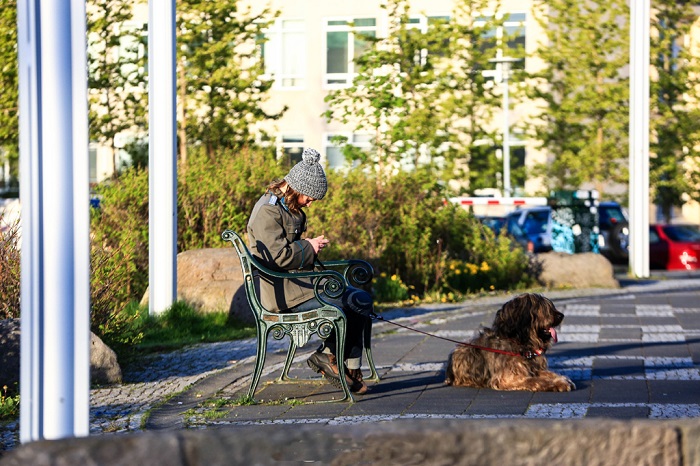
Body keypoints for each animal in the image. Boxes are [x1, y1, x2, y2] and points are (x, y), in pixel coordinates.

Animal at [448, 294, 576, 392]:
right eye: (543, 309)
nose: (561, 315)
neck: (519, 343)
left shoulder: (534, 368)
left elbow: (548, 373)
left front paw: (562, 379)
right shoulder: (510, 378)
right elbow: (535, 381)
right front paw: (558, 384)